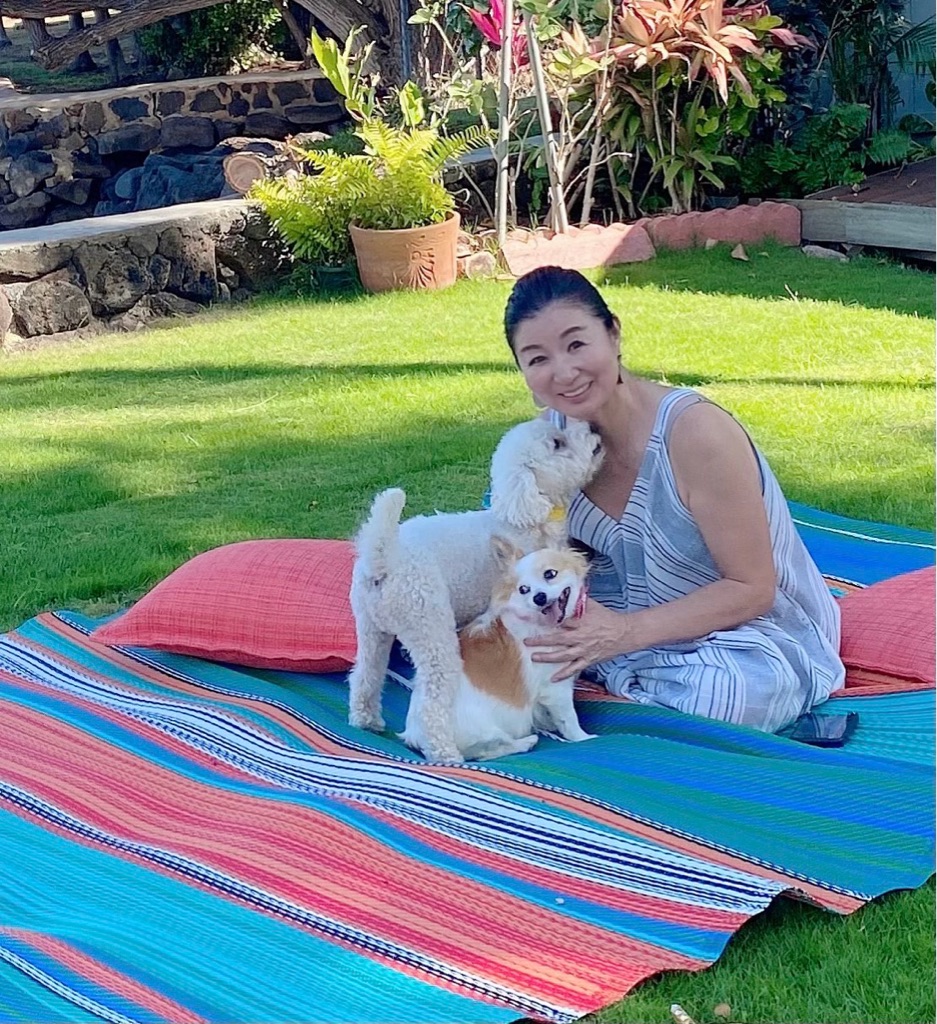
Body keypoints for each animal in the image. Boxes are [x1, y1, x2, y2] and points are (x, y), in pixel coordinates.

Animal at [399, 541, 596, 761]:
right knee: (488, 751)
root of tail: (415, 735)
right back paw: (526, 742)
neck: (544, 624)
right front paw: (584, 738)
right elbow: (569, 720)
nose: (539, 597)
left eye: (550, 574)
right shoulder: (555, 688)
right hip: (485, 733)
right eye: (524, 590)